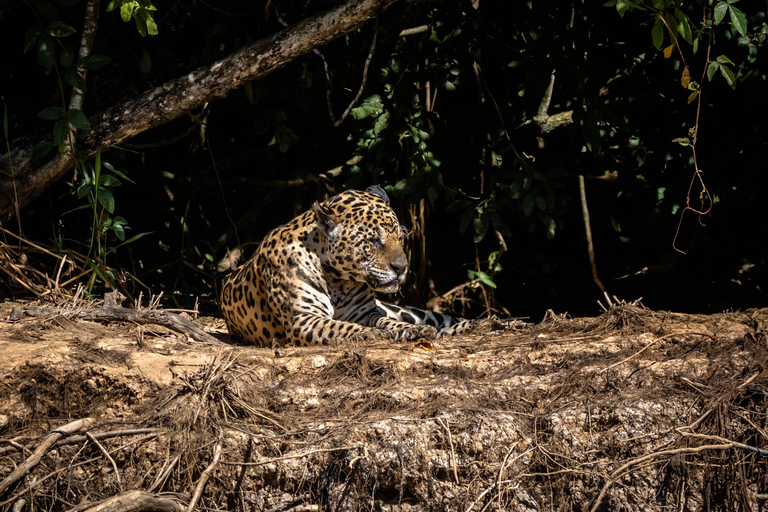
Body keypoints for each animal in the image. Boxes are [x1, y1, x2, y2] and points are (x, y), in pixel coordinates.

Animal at [220, 186, 481, 347]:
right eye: (374, 241)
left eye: (400, 237)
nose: (401, 268)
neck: (338, 281)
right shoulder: (302, 319)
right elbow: (341, 328)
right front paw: (372, 334)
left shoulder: (366, 312)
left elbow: (390, 322)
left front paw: (412, 330)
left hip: (403, 309)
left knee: (437, 319)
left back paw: (479, 323)